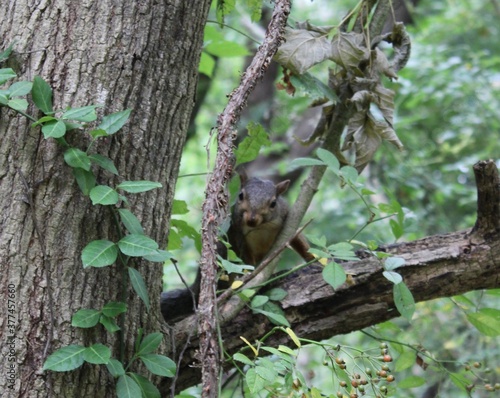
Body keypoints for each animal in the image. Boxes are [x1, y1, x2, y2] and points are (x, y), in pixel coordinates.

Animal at [160, 170, 312, 324]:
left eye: (274, 203)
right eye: (240, 196)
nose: (251, 219)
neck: (261, 227)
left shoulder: (289, 221)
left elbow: (300, 241)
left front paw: (314, 260)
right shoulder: (238, 234)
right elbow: (246, 261)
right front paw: (251, 277)